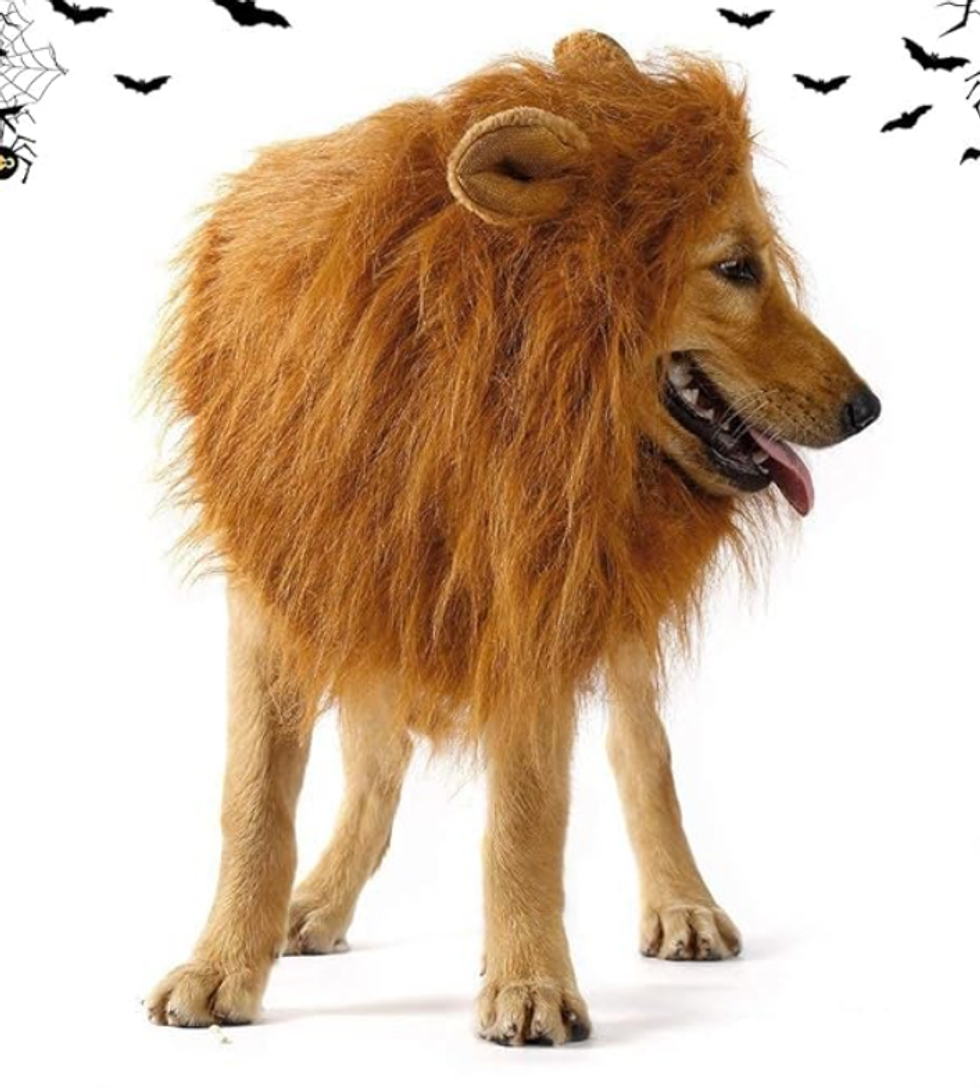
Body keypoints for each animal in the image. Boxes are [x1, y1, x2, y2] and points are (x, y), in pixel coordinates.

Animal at [145, 31, 880, 1045]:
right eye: (737, 268)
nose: (868, 408)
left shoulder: (536, 588)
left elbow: (528, 817)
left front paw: (529, 984)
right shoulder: (288, 575)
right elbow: (253, 805)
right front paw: (221, 967)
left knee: (639, 747)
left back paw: (680, 903)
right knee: (378, 766)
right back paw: (317, 903)